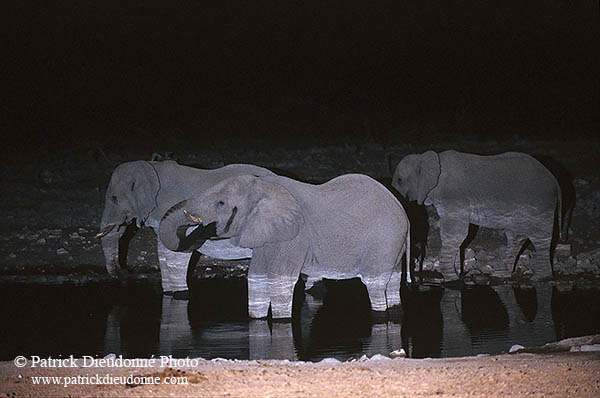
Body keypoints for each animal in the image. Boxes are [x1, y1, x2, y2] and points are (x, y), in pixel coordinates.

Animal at [97, 160, 276, 294]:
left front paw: (180, 294)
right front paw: (169, 293)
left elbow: (177, 253)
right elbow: (163, 252)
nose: (125, 273)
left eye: (114, 198)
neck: (152, 167)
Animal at [159, 174, 410, 320]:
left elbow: (281, 280)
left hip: (384, 240)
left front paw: (282, 322)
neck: (265, 187)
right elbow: (256, 278)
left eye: (221, 203)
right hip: (393, 245)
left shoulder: (294, 236)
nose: (204, 229)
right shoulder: (264, 234)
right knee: (392, 281)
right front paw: (257, 320)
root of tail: (404, 212)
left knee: (374, 284)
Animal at [392, 150, 560, 282]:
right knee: (515, 235)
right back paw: (501, 275)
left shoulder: (454, 199)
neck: (425, 157)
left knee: (539, 236)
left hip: (540, 202)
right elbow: (456, 237)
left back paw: (540, 278)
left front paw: (451, 280)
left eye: (400, 180)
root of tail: (554, 178)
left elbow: (455, 234)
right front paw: (456, 276)